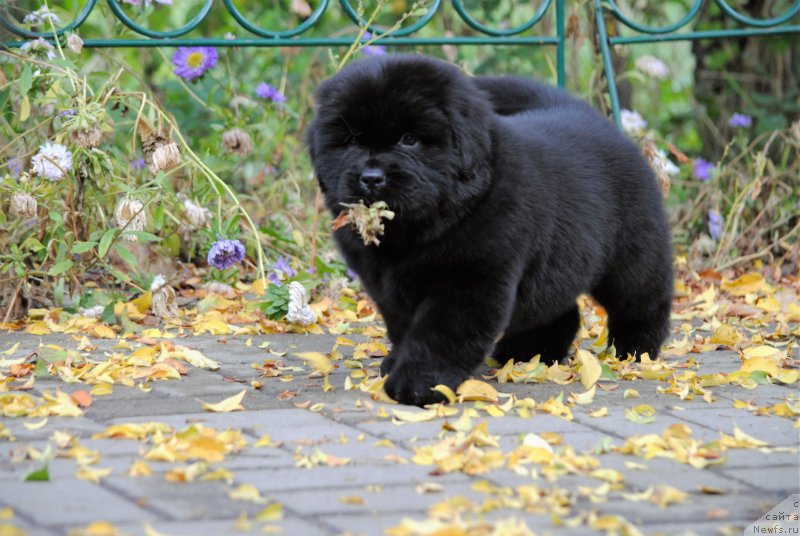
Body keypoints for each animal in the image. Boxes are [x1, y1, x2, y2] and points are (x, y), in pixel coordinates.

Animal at [310, 55, 672, 406]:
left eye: (409, 140)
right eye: (352, 140)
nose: (371, 178)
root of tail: (587, 114)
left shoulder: (469, 281)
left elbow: (438, 336)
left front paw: (418, 384)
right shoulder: (388, 289)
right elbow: (404, 328)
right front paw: (396, 363)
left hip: (632, 255)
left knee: (641, 299)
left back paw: (635, 351)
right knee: (557, 310)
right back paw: (530, 352)